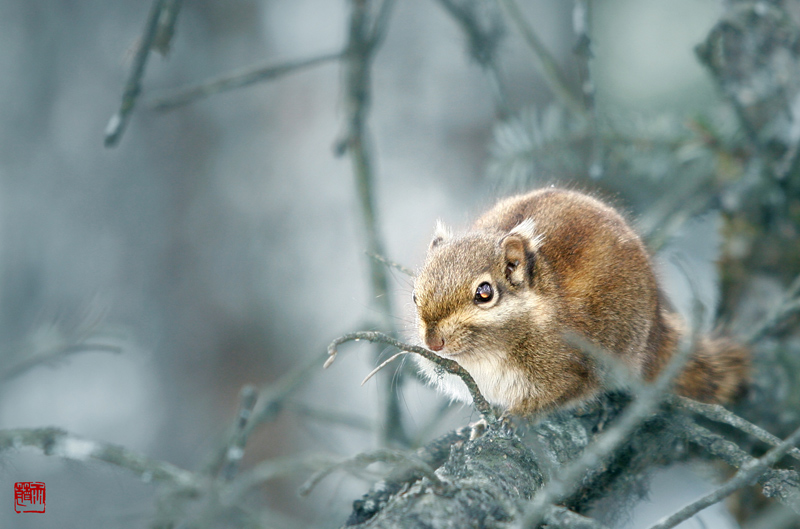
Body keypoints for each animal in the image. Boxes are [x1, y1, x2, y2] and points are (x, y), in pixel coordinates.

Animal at [412, 188, 752, 414]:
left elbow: (561, 393)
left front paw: (517, 416)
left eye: (485, 293)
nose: (433, 343)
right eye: (415, 295)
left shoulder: (570, 368)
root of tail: (656, 327)